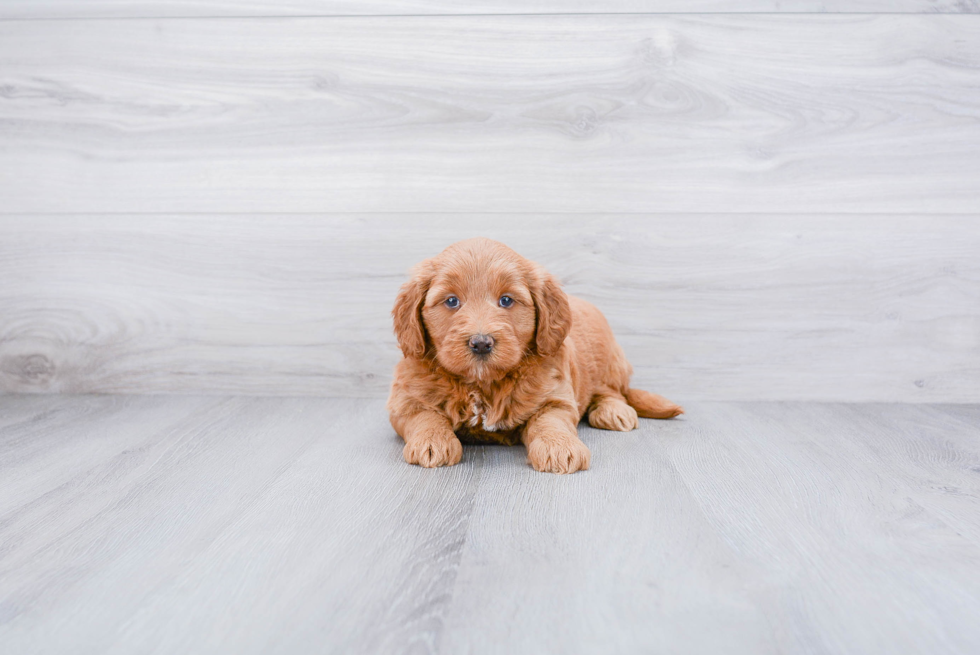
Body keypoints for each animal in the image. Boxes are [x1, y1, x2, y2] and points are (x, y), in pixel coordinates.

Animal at [384, 238, 680, 474]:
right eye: (451, 301)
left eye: (506, 300)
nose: (481, 343)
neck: (484, 384)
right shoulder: (405, 398)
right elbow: (425, 416)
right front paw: (432, 441)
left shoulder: (555, 397)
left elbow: (551, 422)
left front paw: (560, 448)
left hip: (610, 361)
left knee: (613, 391)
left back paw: (613, 411)